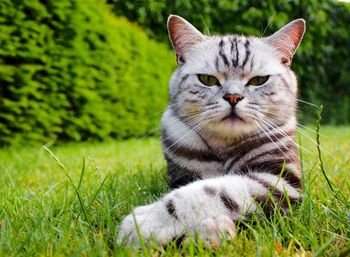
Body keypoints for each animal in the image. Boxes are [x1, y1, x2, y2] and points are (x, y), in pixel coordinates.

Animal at [116, 14, 304, 246]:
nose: (233, 97)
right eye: (208, 79)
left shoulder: (281, 181)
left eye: (259, 80)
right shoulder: (181, 176)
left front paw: (146, 222)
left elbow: (211, 191)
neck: (224, 147)